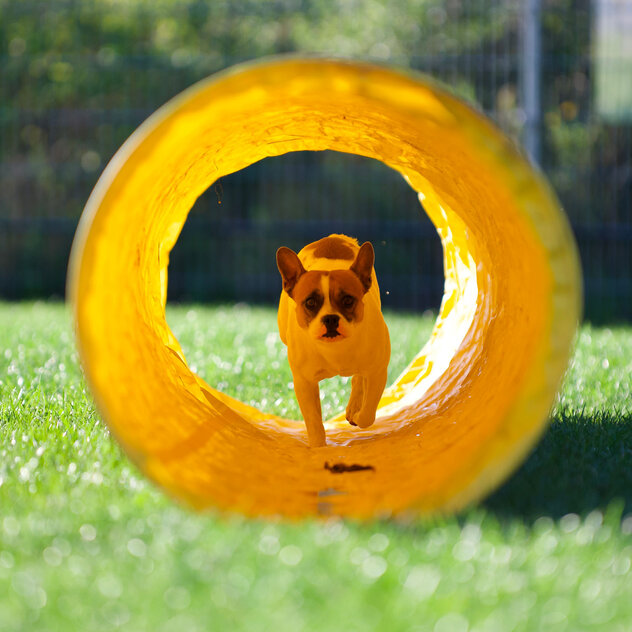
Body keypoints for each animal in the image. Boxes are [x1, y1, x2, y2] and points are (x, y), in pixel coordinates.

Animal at [276, 235, 390, 446]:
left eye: (348, 300)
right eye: (310, 302)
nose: (330, 318)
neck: (335, 348)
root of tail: (334, 237)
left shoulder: (377, 372)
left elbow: (368, 413)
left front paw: (357, 415)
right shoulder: (305, 383)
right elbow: (313, 421)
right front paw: (318, 446)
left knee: (358, 380)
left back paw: (353, 408)